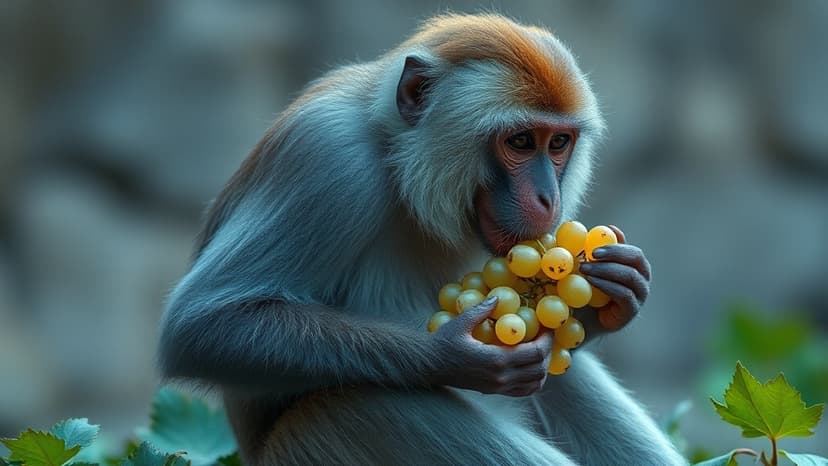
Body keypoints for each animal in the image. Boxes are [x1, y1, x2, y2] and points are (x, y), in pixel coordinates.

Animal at [158, 13, 687, 466]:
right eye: (520, 142)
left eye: (558, 143)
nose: (548, 197)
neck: (398, 161)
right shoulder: (327, 156)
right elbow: (203, 326)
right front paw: (453, 358)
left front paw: (617, 293)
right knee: (367, 402)